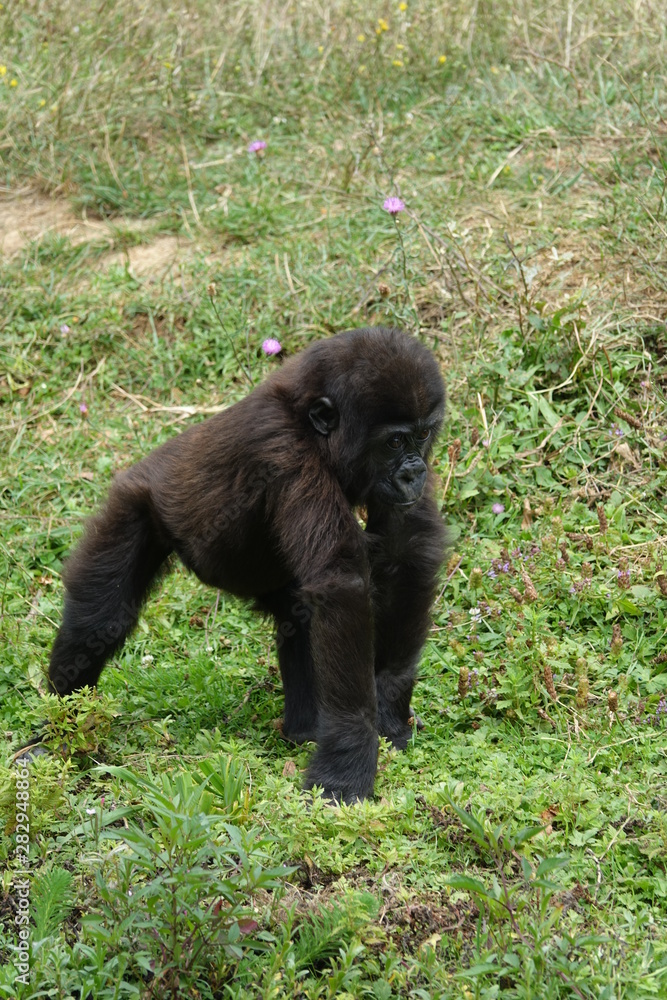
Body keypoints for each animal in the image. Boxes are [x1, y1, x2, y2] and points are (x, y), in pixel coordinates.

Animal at [49, 328, 446, 804]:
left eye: (422, 436)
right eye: (394, 442)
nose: (414, 474)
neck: (311, 423)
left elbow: (409, 549)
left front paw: (388, 706)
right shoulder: (285, 452)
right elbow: (342, 584)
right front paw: (349, 759)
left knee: (298, 614)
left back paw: (304, 730)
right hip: (132, 505)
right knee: (99, 621)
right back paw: (59, 724)